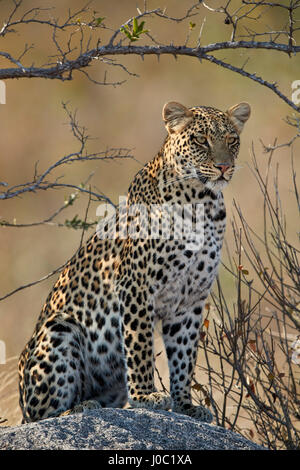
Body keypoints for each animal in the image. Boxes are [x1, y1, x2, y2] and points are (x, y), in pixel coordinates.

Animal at [17, 99, 250, 422]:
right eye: (201, 140)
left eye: (232, 140)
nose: (224, 167)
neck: (201, 202)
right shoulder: (136, 286)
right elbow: (139, 345)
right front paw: (145, 396)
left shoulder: (190, 300)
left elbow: (184, 356)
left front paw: (185, 405)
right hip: (59, 327)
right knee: (43, 415)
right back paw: (80, 408)